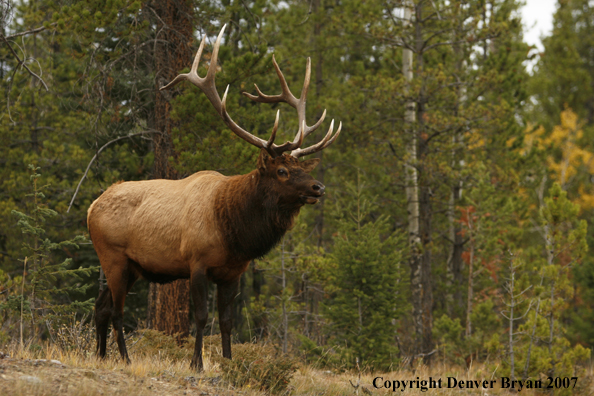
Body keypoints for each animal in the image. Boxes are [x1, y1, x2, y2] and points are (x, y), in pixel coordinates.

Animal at [85, 25, 340, 372]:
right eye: (283, 170)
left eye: (301, 166)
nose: (318, 188)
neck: (234, 230)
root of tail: (90, 208)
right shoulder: (197, 262)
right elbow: (202, 318)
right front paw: (197, 364)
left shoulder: (233, 272)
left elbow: (227, 321)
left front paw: (230, 362)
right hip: (112, 257)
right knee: (116, 311)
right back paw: (124, 358)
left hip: (133, 266)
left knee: (100, 306)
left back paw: (100, 356)